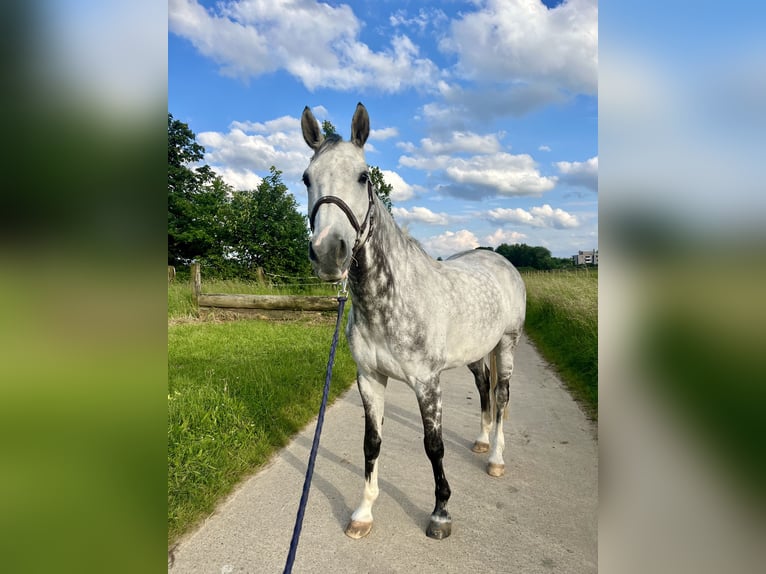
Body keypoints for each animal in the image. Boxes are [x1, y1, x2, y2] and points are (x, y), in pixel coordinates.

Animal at [300, 104, 528, 544]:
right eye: (306, 178)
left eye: (364, 176)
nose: (329, 252)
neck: (389, 303)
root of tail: (499, 259)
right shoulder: (370, 378)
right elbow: (371, 443)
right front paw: (363, 513)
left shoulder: (427, 382)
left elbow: (433, 446)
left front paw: (440, 514)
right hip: (476, 354)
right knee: (484, 390)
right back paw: (480, 442)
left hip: (506, 345)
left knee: (502, 395)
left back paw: (495, 458)